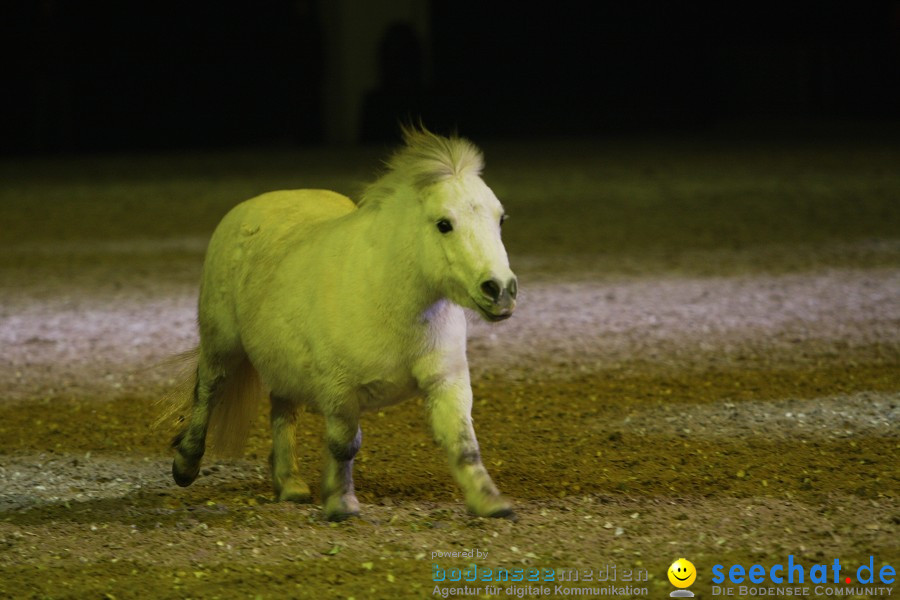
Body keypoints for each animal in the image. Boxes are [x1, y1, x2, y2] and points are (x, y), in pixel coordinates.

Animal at [167, 126, 520, 520]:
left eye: (500, 219)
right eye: (444, 224)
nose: (501, 290)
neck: (389, 299)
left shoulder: (446, 381)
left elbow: (463, 442)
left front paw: (490, 502)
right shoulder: (339, 390)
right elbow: (344, 444)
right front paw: (341, 504)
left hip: (281, 361)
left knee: (282, 410)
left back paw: (289, 483)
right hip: (221, 344)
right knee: (208, 390)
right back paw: (186, 465)